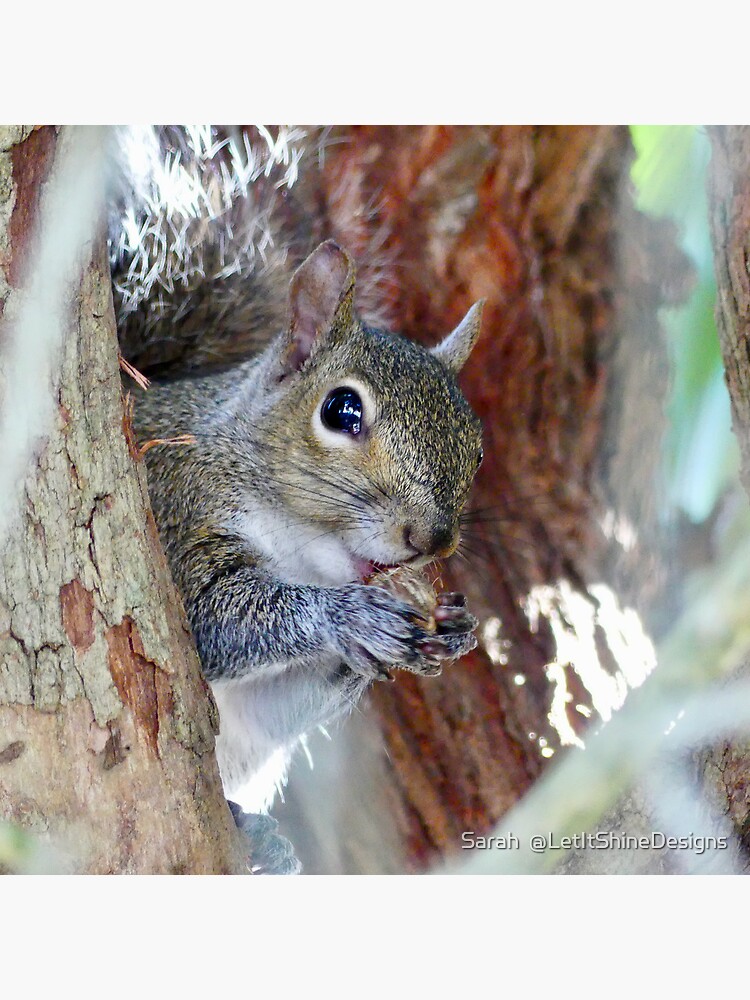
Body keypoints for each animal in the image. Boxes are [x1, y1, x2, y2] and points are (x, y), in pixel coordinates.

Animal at [111, 129, 488, 868]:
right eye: (342, 410)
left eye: (478, 448)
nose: (429, 539)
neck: (299, 546)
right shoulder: (175, 511)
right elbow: (209, 621)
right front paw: (349, 617)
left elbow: (281, 704)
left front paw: (449, 631)